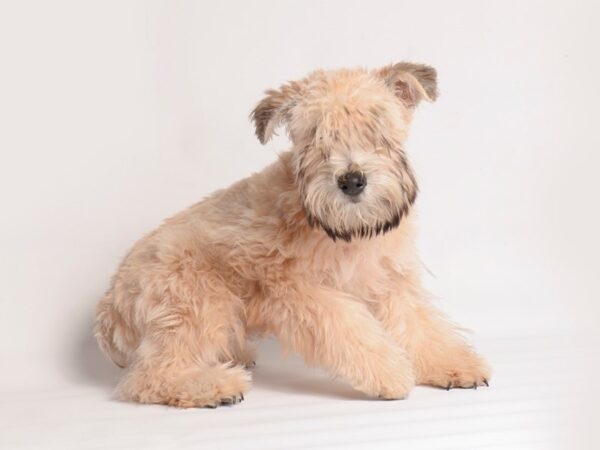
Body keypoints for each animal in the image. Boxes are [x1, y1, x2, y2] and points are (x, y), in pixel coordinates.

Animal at [95, 61, 488, 406]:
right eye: (316, 135)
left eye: (375, 126)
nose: (351, 180)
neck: (347, 233)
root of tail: (108, 307)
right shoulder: (296, 290)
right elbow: (348, 328)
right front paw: (389, 373)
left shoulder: (392, 280)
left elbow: (419, 326)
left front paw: (453, 364)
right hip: (198, 301)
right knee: (148, 377)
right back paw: (216, 386)